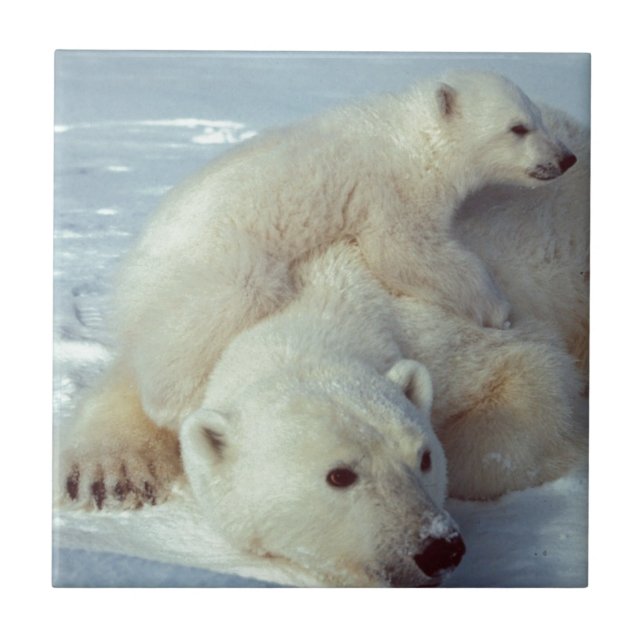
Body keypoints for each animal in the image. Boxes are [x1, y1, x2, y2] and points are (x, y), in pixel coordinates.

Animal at [110, 71, 577, 432]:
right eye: (518, 127)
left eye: (538, 117)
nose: (566, 158)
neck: (410, 138)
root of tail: (127, 282)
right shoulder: (391, 188)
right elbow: (404, 250)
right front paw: (497, 309)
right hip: (214, 262)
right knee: (221, 308)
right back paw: (177, 405)